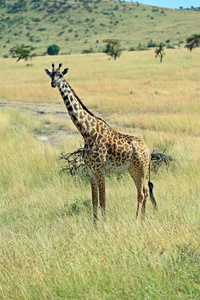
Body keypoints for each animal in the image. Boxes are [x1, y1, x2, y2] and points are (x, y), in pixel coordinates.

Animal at [44, 63, 157, 224]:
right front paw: (95, 225)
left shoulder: (100, 170)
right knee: (145, 192)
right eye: (51, 75)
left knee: (141, 193)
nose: (53, 84)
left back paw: (136, 220)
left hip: (140, 169)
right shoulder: (90, 170)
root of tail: (148, 150)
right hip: (133, 169)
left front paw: (104, 225)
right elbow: (94, 201)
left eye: (61, 75)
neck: (86, 132)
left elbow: (103, 199)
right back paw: (142, 220)